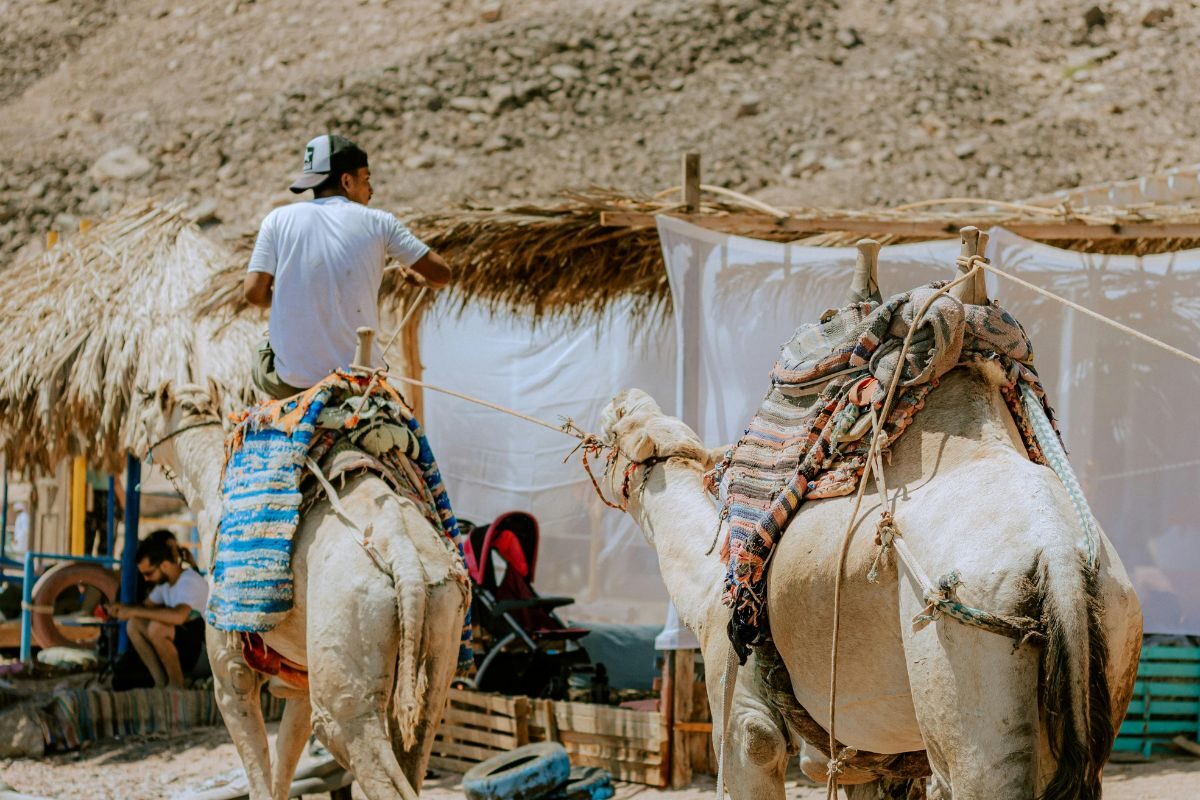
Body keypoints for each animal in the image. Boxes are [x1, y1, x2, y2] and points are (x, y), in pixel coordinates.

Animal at [141, 383, 468, 796]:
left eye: (145, 412)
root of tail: (404, 557)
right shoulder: (298, 684)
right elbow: (283, 771)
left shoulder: (230, 674)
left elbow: (260, 777)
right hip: (438, 627)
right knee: (418, 735)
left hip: (345, 672)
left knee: (353, 741)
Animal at [600, 291, 1142, 796]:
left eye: (618, 427)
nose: (617, 395)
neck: (710, 585)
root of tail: (1058, 554)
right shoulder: (872, 760)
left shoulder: (742, 716)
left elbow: (753, 744)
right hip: (1109, 637)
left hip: (969, 682)